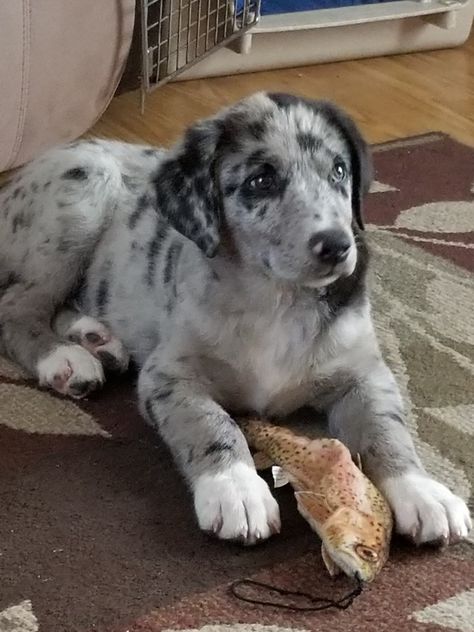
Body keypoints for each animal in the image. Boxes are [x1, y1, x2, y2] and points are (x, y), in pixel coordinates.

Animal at [0, 94, 470, 548]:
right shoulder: (167, 376)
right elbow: (211, 422)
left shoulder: (365, 372)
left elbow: (386, 427)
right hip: (84, 194)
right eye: (261, 181)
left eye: (339, 171)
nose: (337, 246)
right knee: (17, 307)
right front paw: (236, 489)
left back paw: (97, 338)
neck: (278, 298)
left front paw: (421, 491)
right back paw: (64, 359)